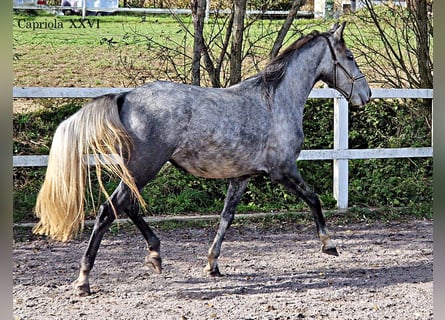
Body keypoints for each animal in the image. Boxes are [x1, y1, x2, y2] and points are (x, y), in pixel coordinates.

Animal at [33, 22, 370, 296]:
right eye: (350, 56)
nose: (365, 95)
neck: (275, 101)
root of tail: (125, 96)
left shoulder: (242, 177)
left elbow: (226, 218)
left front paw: (212, 263)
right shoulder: (282, 170)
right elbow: (314, 199)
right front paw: (329, 244)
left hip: (138, 170)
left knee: (126, 207)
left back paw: (155, 255)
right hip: (145, 167)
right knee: (109, 210)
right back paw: (84, 280)